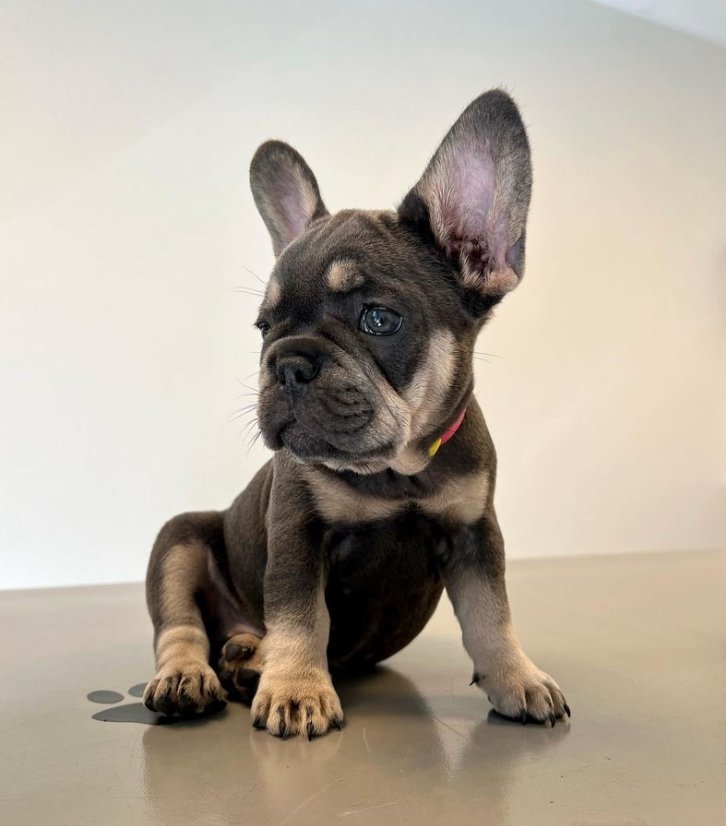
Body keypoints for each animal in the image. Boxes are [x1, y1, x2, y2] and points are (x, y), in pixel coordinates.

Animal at [143, 89, 570, 737]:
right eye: (264, 328)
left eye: (379, 318)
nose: (287, 362)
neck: (398, 472)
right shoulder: (297, 531)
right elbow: (300, 616)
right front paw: (296, 689)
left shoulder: (475, 533)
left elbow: (491, 615)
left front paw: (518, 678)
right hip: (179, 540)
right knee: (180, 625)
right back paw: (192, 676)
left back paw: (246, 658)